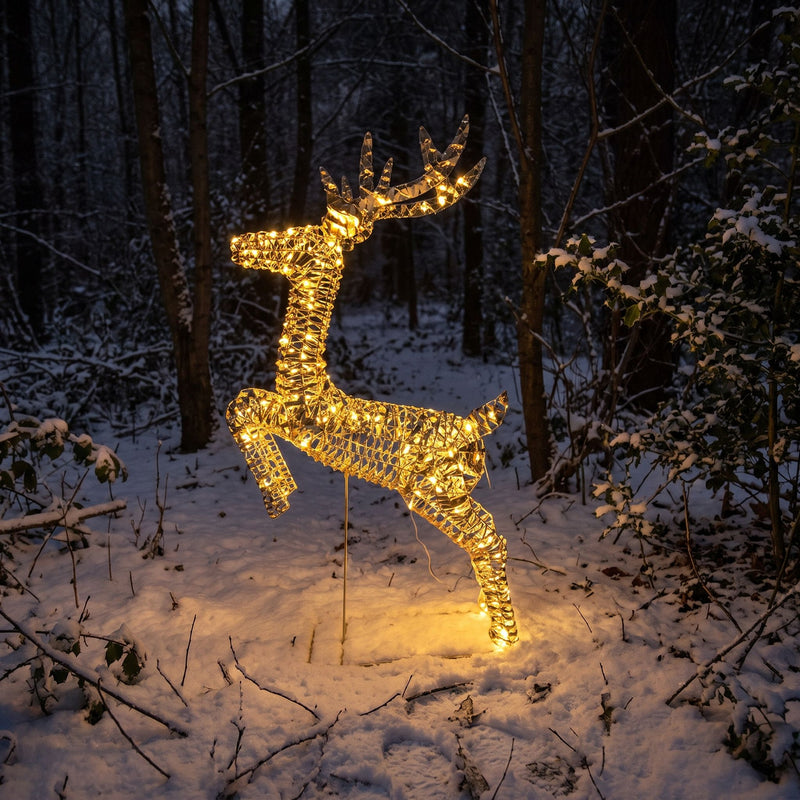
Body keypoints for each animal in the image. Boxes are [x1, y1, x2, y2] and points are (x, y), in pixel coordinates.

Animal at [226, 117, 518, 646]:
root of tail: (475, 426)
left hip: (431, 491)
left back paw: (503, 638)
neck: (306, 381)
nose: (237, 245)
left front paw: (279, 497)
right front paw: (281, 490)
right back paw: (486, 617)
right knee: (491, 535)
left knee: (489, 540)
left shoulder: (296, 421)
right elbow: (242, 402)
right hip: (451, 490)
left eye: (300, 237)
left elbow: (241, 404)